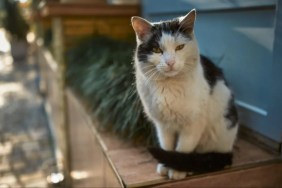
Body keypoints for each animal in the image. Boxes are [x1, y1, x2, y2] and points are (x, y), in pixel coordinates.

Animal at [131, 9, 239, 181]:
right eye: (157, 50)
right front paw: (166, 166)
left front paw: (176, 170)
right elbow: (167, 146)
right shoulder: (163, 125)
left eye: (180, 47)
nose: (170, 62)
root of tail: (228, 152)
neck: (168, 86)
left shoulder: (194, 124)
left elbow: (183, 147)